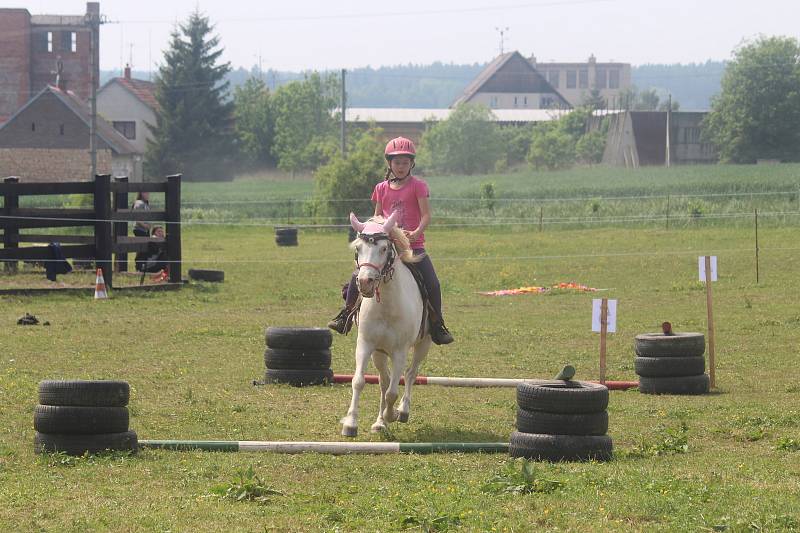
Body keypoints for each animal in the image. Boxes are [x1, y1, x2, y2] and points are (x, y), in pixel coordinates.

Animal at [342, 210, 434, 434]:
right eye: (358, 248)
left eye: (384, 248)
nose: (365, 282)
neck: (386, 305)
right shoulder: (366, 345)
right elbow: (359, 381)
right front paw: (351, 423)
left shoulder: (400, 351)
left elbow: (394, 390)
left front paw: (391, 414)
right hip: (379, 353)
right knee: (384, 381)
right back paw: (379, 422)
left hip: (423, 344)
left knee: (410, 374)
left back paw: (402, 411)